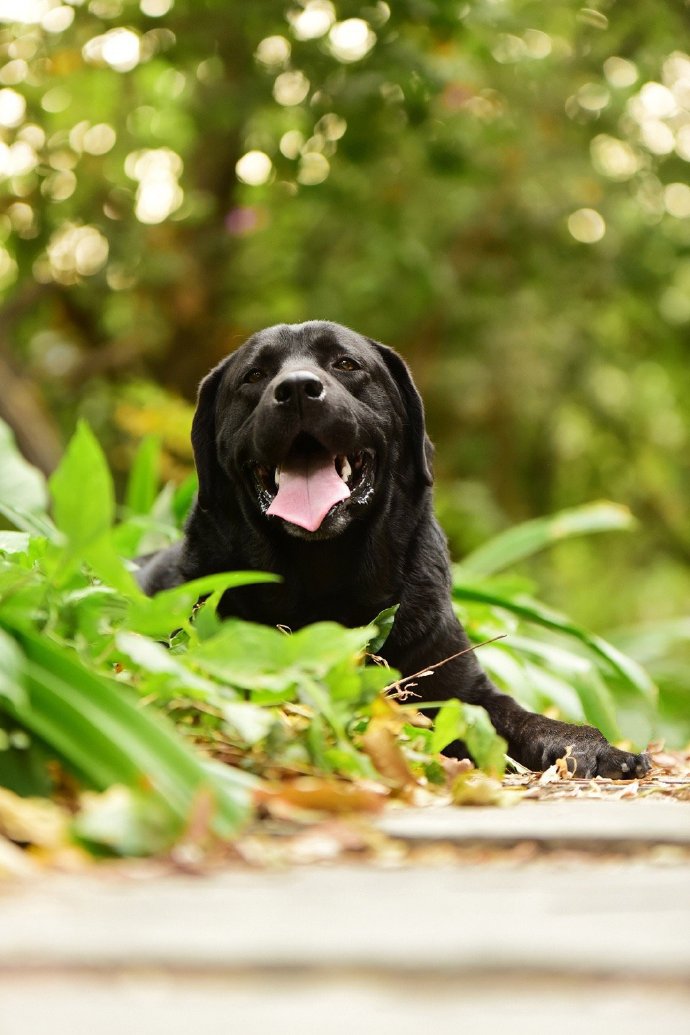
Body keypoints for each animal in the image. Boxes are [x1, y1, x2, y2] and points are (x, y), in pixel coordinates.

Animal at [137, 318, 649, 778]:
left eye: (346, 364)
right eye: (255, 375)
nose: (298, 388)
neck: (322, 575)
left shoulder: (461, 688)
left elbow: (527, 719)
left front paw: (600, 749)